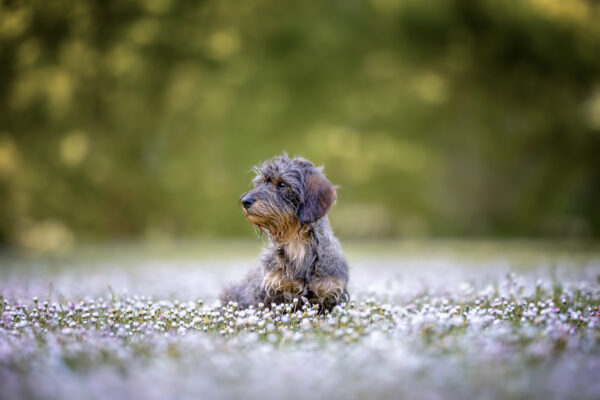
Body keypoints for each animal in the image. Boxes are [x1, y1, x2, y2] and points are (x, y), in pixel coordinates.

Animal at [221, 153, 350, 310]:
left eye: (282, 184)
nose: (245, 201)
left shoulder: (329, 291)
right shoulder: (274, 290)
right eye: (260, 183)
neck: (296, 245)